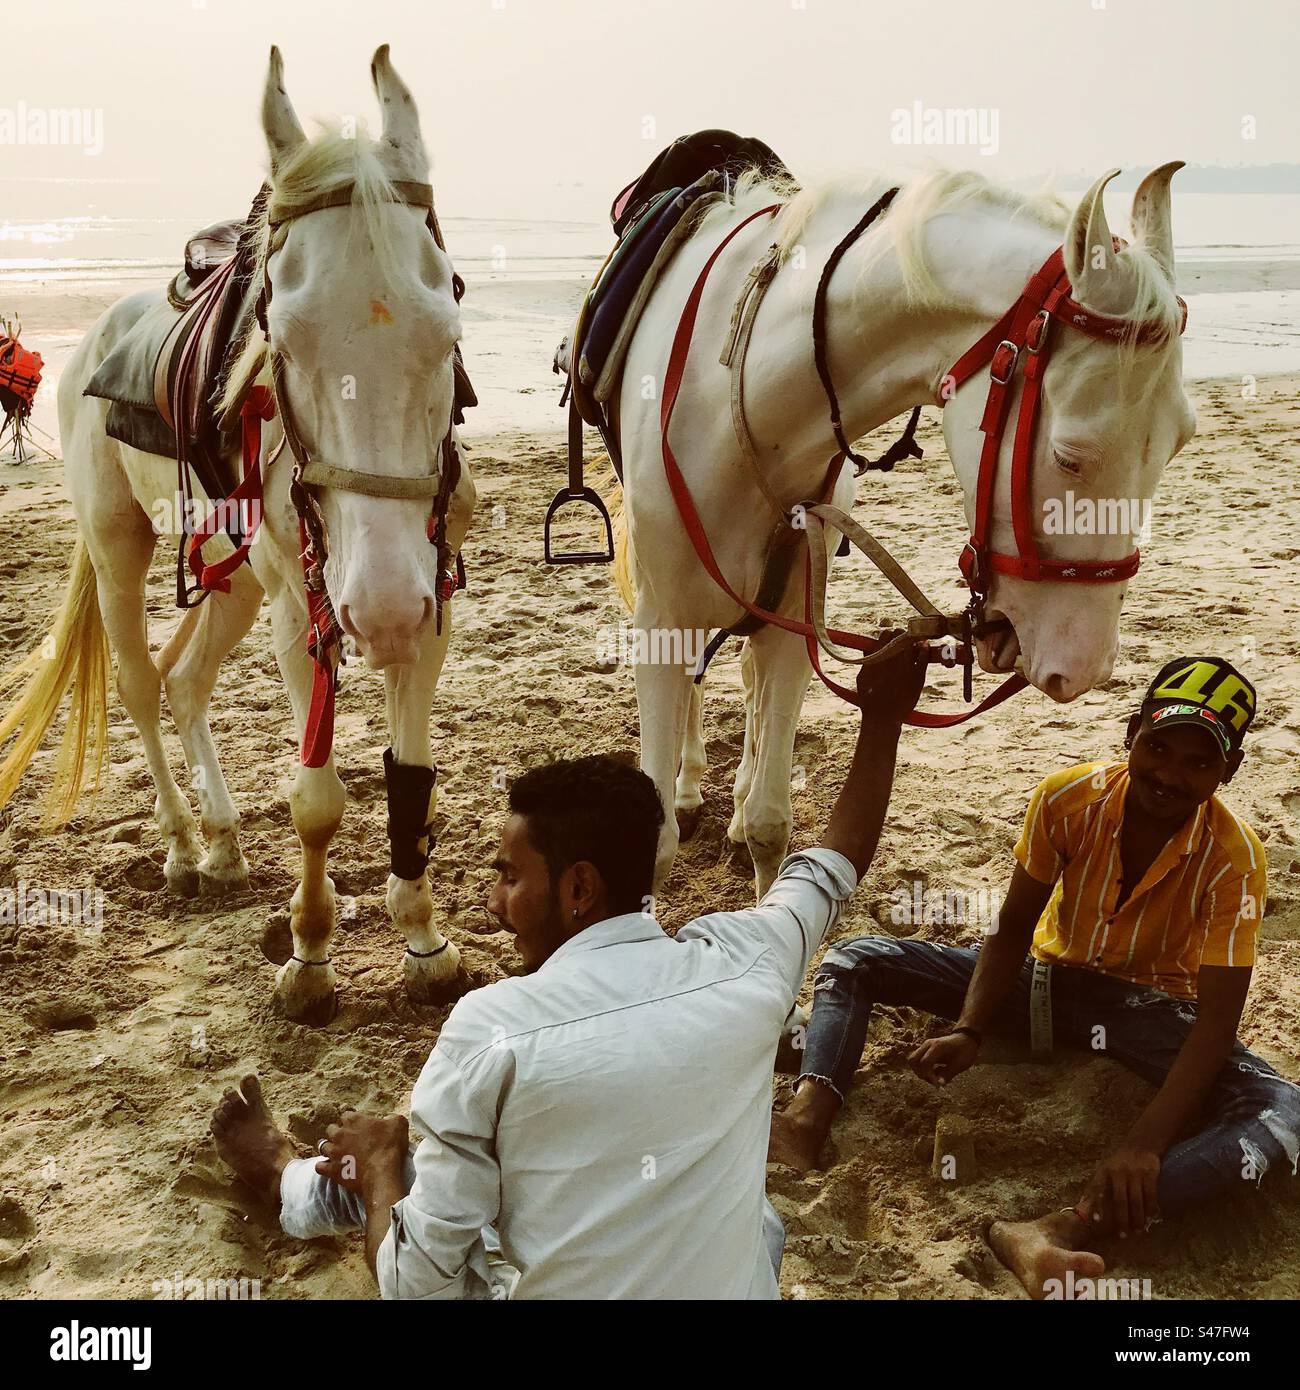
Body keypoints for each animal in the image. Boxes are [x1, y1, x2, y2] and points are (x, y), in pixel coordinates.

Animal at [0, 47, 475, 1023]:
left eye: (446, 319)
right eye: (281, 339)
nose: (378, 609)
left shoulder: (429, 603)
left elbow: (411, 776)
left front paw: (423, 941)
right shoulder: (307, 612)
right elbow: (317, 801)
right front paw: (310, 958)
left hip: (237, 577)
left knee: (185, 683)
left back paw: (220, 839)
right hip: (122, 548)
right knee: (143, 686)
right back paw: (184, 844)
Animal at [608, 163, 1194, 897]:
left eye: (1182, 441)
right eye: (1069, 456)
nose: (1083, 668)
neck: (737, 394)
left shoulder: (793, 620)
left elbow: (773, 820)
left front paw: (752, 824)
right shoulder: (661, 616)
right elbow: (652, 838)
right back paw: (689, 788)